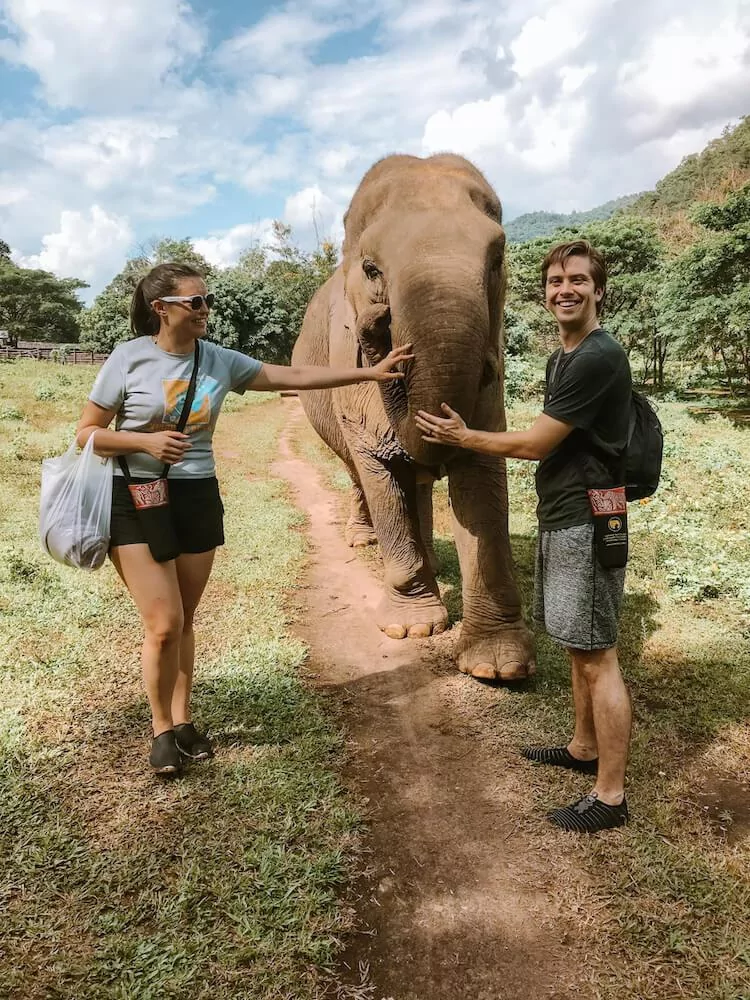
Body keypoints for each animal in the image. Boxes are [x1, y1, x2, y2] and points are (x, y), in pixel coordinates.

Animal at [292, 152, 536, 680]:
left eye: (498, 259)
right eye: (371, 269)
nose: (376, 327)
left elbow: (480, 477)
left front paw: (497, 666)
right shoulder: (350, 373)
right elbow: (380, 472)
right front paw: (412, 629)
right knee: (358, 473)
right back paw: (366, 542)